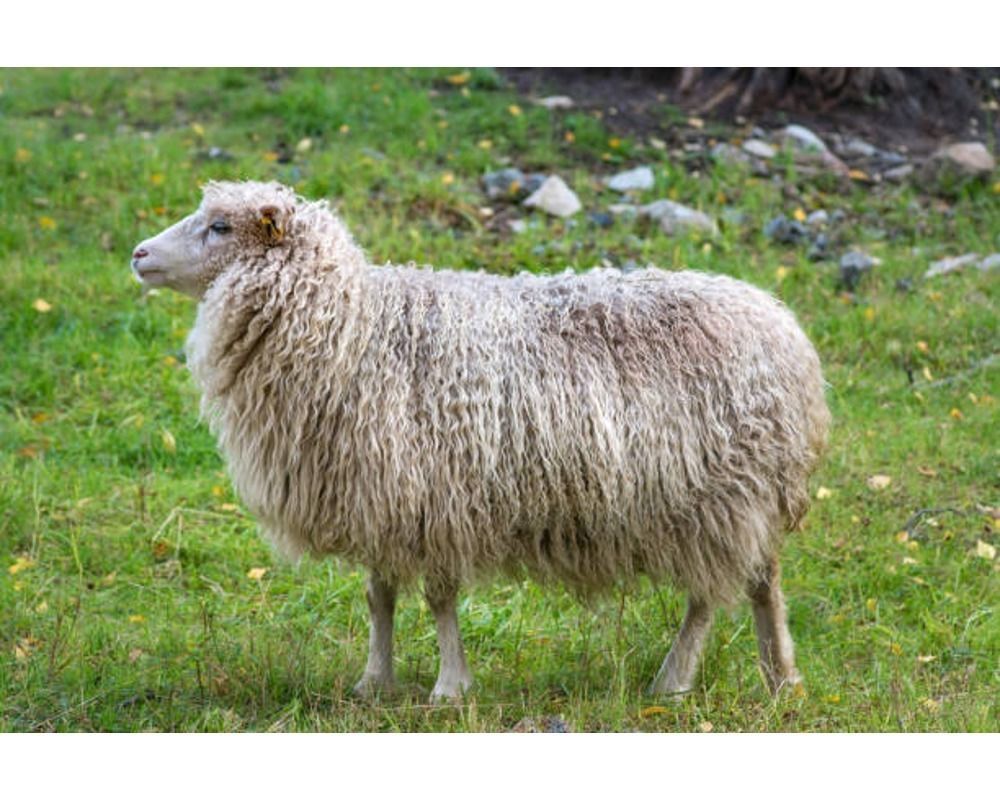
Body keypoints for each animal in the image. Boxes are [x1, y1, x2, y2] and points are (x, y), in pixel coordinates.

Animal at [131, 180, 830, 702]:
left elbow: (439, 599)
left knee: (710, 595)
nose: (138, 254)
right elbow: (379, 596)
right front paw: (374, 682)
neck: (353, 329)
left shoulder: (437, 497)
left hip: (715, 495)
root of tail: (781, 326)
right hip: (741, 493)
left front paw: (449, 687)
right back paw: (782, 677)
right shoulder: (381, 495)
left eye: (221, 227)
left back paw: (675, 681)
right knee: (762, 581)